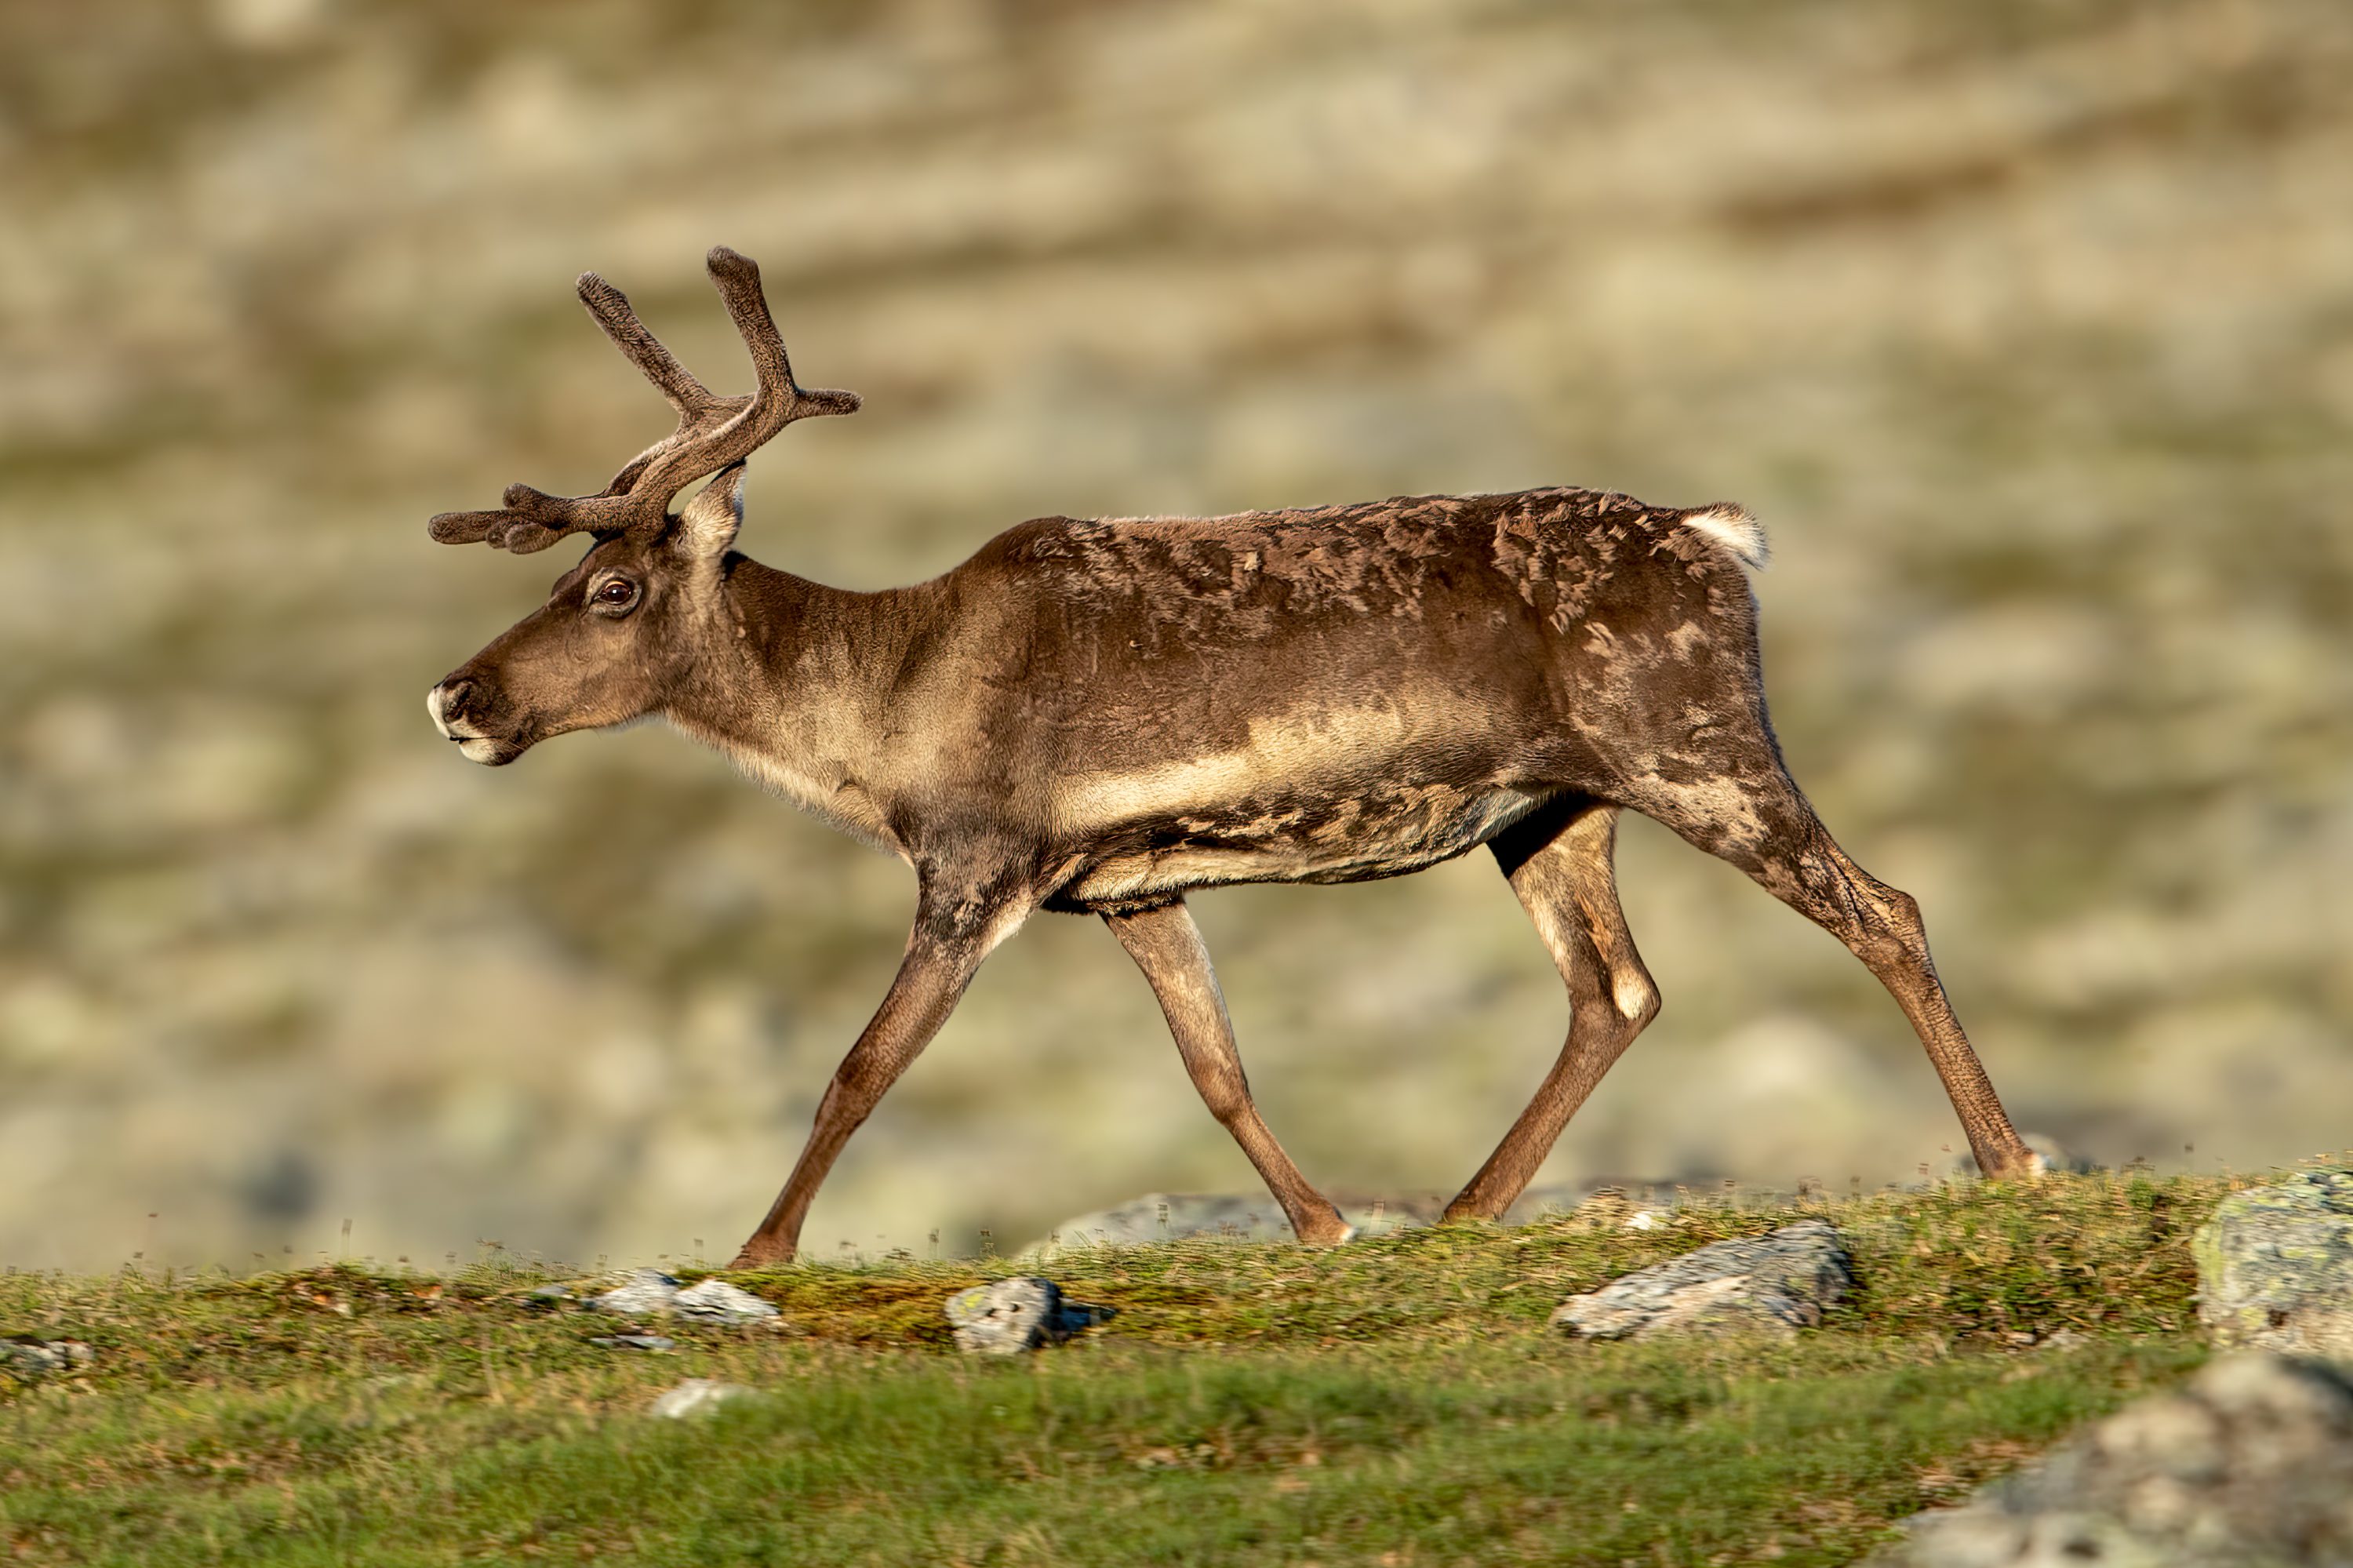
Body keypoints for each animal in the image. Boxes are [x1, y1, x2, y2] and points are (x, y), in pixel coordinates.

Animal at [426, 247, 2043, 1267]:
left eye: (613, 588)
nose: (455, 696)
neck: (880, 703)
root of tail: (1722, 535)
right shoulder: (1133, 887)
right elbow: (1217, 1069)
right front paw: (1323, 1224)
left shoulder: (974, 869)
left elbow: (861, 1063)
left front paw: (763, 1247)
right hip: (1554, 806)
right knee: (1616, 988)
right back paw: (1463, 1209)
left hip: (1697, 748)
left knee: (1880, 908)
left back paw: (2007, 1155)